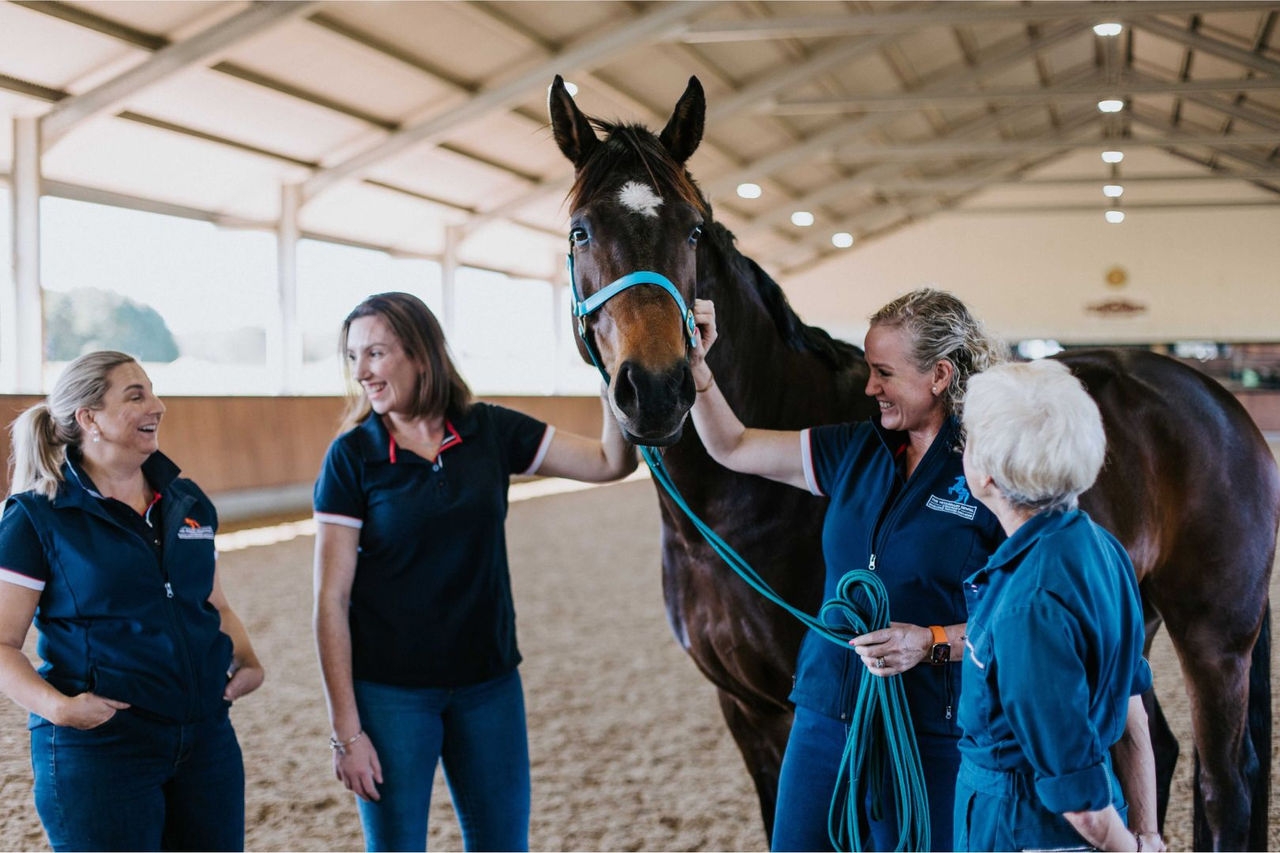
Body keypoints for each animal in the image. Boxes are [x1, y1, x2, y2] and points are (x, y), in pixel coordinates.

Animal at [548, 74, 1278, 851]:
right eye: (581, 231)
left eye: (690, 230)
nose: (657, 389)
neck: (734, 509)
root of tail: (1214, 397)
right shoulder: (745, 707)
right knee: (1153, 749)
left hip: (1216, 637)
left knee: (1224, 786)